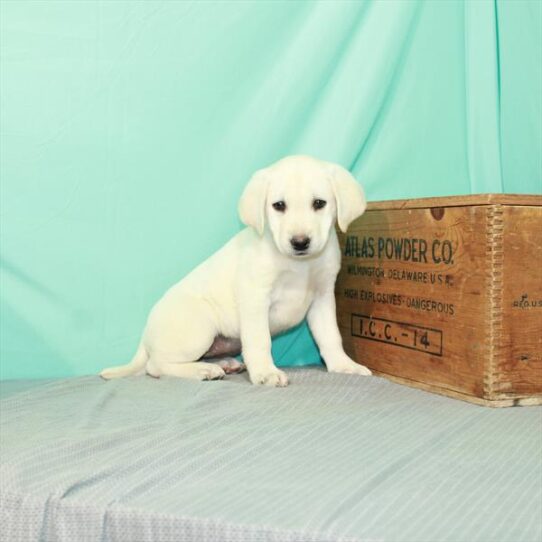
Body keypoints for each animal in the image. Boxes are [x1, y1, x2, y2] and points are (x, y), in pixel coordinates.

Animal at [100, 155, 374, 388]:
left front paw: (344, 365)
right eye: (278, 205)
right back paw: (203, 370)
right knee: (156, 366)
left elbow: (331, 337)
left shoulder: (323, 298)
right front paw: (266, 372)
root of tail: (146, 333)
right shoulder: (255, 297)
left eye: (319, 203)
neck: (299, 265)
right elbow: (259, 340)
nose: (300, 242)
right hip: (200, 325)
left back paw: (223, 364)